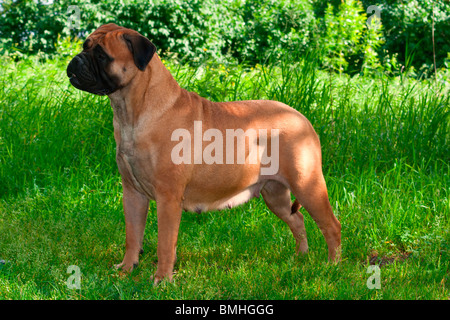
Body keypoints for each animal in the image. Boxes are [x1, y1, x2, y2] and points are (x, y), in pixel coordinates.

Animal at [67, 23, 342, 284]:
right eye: (85, 46)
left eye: (101, 55)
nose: (76, 61)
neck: (132, 110)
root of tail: (302, 119)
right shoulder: (133, 193)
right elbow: (132, 236)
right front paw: (126, 269)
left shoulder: (168, 198)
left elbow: (165, 244)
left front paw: (162, 280)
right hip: (274, 193)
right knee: (298, 220)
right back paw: (301, 257)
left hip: (307, 185)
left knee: (331, 225)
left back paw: (331, 267)